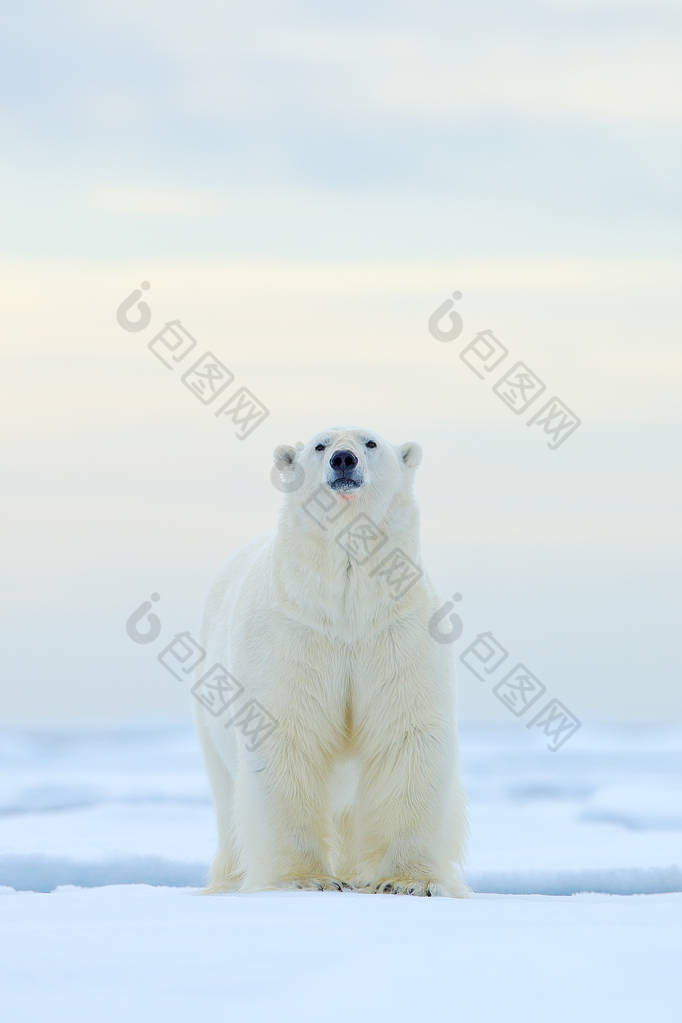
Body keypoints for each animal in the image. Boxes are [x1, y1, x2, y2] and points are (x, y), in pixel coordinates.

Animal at [192, 423, 470, 896]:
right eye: (319, 444)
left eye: (370, 442)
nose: (343, 459)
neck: (347, 606)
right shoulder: (296, 631)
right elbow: (287, 734)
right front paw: (307, 880)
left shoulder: (395, 630)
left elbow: (405, 733)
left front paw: (407, 881)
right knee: (227, 798)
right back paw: (228, 881)